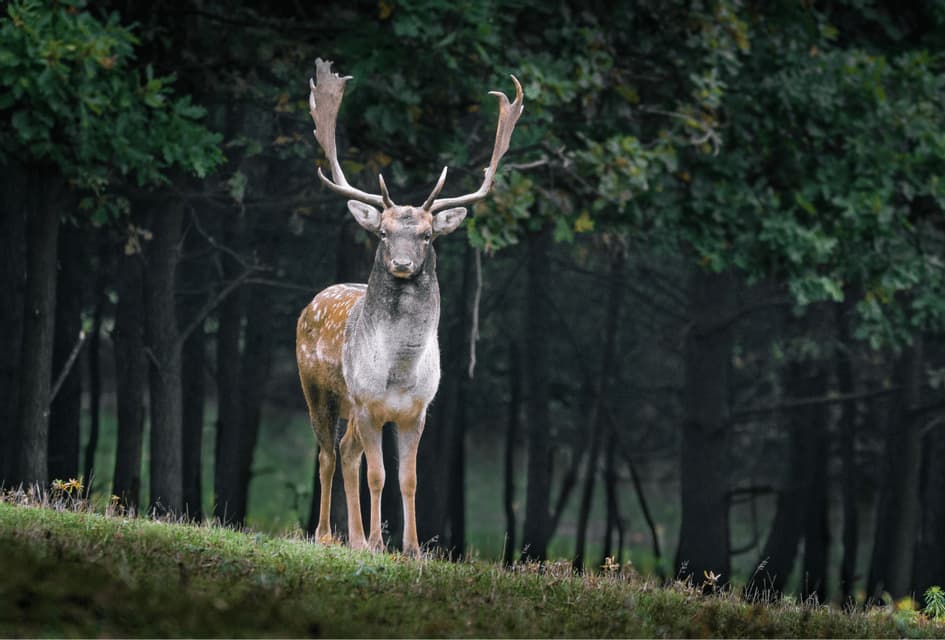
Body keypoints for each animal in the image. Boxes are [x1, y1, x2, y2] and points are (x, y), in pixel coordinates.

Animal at [296, 59, 523, 556]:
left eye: (427, 235)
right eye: (382, 232)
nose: (401, 263)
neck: (398, 372)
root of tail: (313, 302)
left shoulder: (417, 411)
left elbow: (409, 478)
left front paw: (412, 547)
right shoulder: (367, 404)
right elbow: (378, 476)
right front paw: (378, 543)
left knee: (346, 453)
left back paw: (353, 538)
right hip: (317, 389)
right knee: (326, 454)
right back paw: (327, 535)